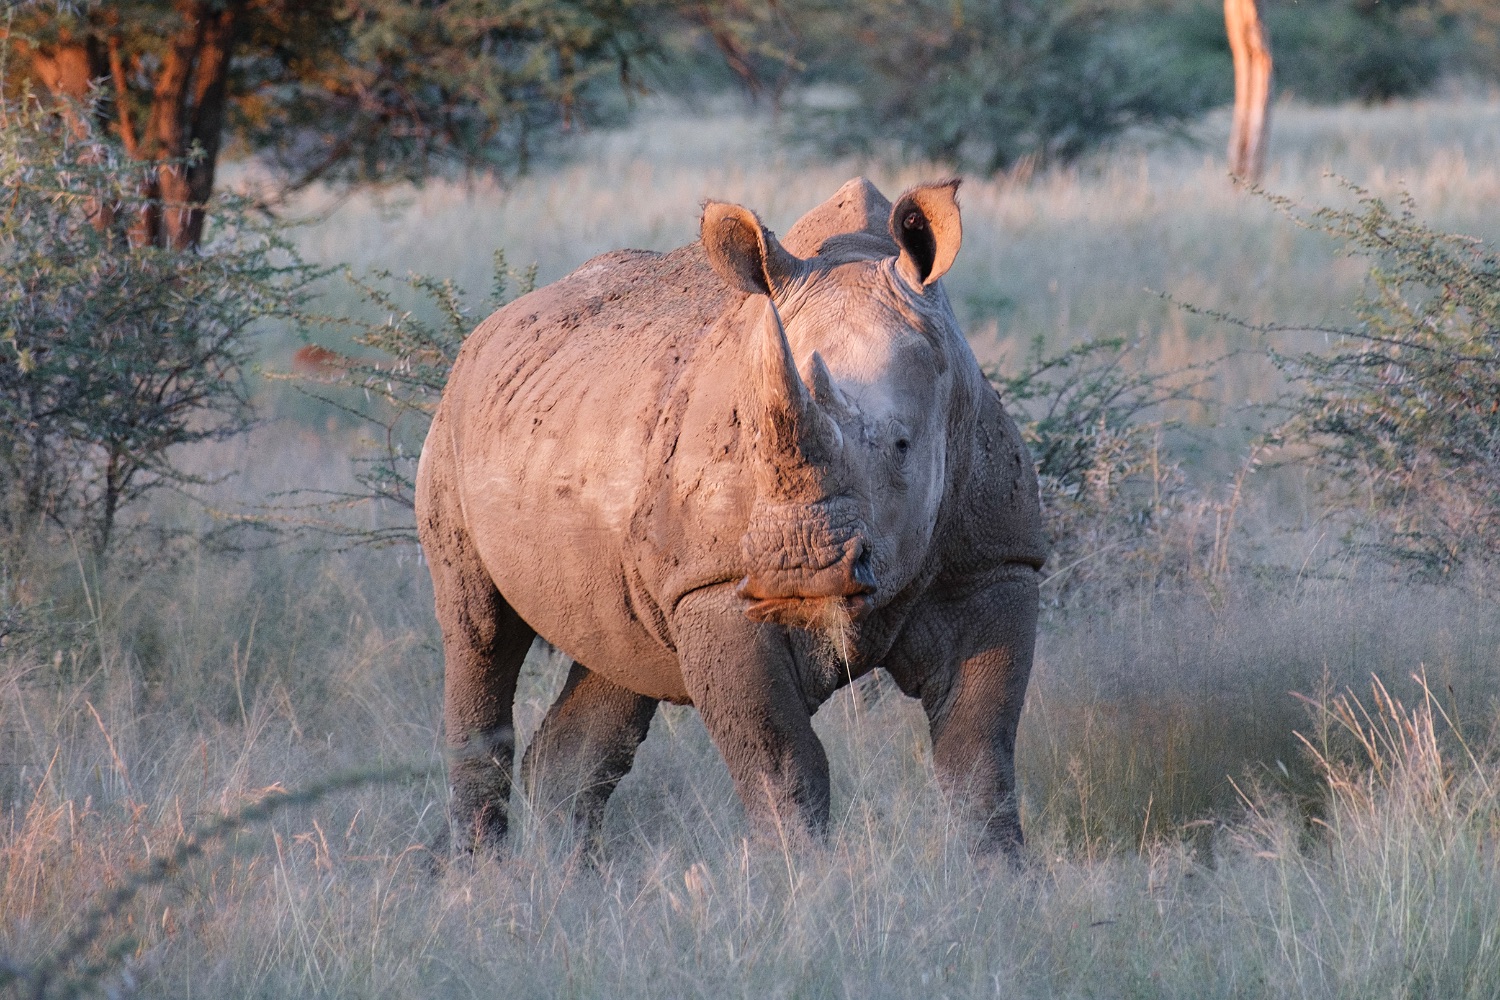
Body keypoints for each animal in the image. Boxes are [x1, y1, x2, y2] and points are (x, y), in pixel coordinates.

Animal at [415, 177, 1045, 855]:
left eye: (903, 446)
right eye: (748, 439)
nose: (800, 568)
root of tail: (486, 332)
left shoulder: (993, 565)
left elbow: (978, 757)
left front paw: (995, 874)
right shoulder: (711, 585)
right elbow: (781, 763)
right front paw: (799, 877)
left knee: (614, 664)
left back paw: (562, 876)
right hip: (452, 427)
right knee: (480, 631)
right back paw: (484, 875)